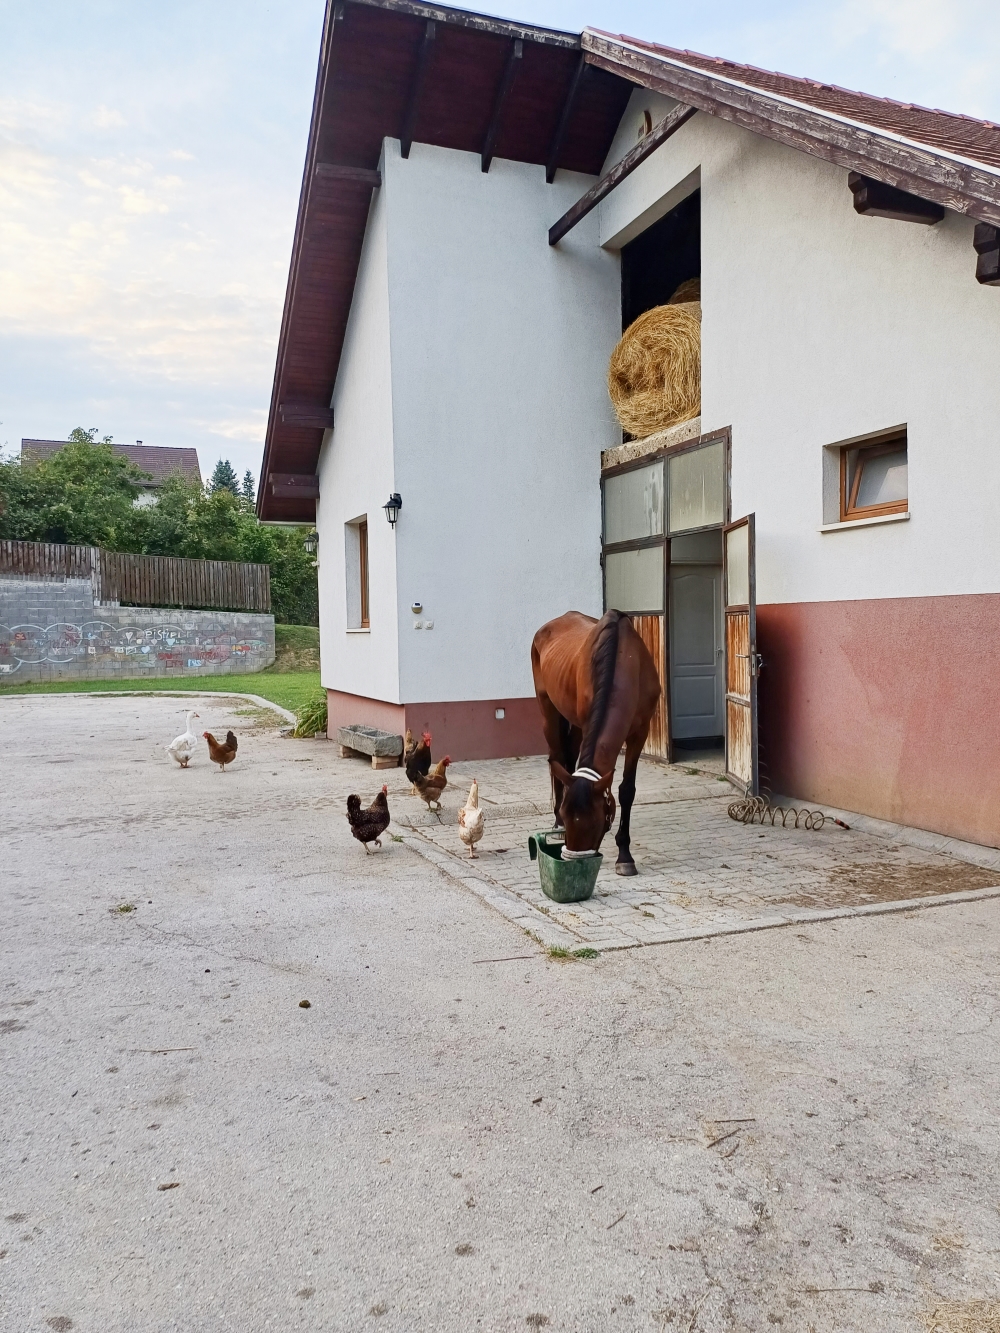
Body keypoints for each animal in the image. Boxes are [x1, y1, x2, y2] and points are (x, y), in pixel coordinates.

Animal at [533, 610, 666, 874]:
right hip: (549, 711)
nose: (573, 860)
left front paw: (624, 855)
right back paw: (555, 824)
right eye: (568, 815)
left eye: (595, 821)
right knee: (557, 758)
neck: (624, 660)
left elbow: (627, 790)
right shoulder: (588, 725)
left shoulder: (640, 734)